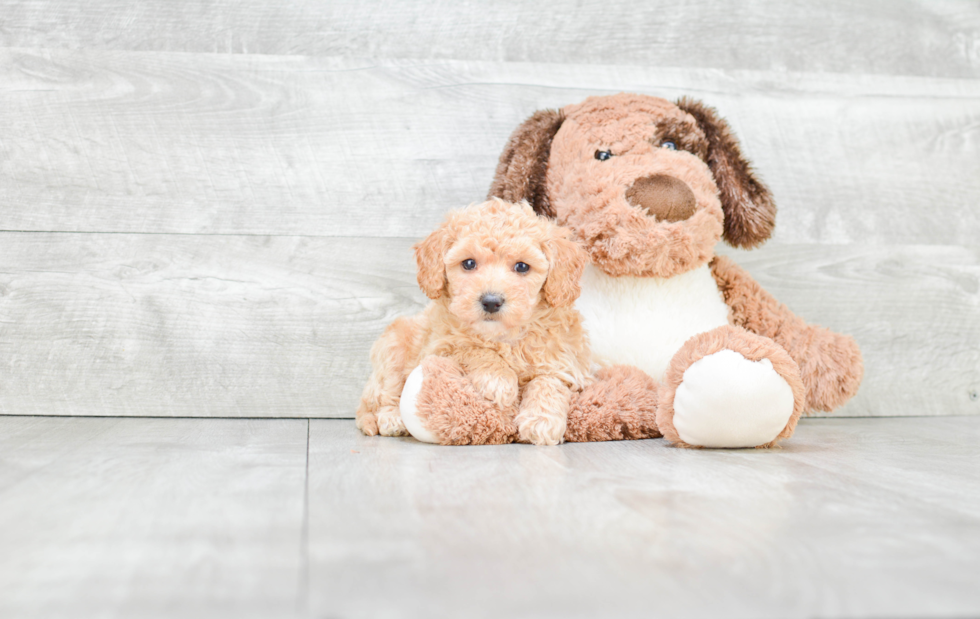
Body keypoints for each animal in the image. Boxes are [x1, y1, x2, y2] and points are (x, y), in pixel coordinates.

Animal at [358, 199, 588, 446]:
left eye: (522, 266)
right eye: (468, 263)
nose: (491, 302)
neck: (503, 336)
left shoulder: (566, 361)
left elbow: (549, 380)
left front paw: (541, 421)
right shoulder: (439, 347)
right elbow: (473, 348)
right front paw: (499, 379)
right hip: (392, 350)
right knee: (384, 395)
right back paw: (392, 419)